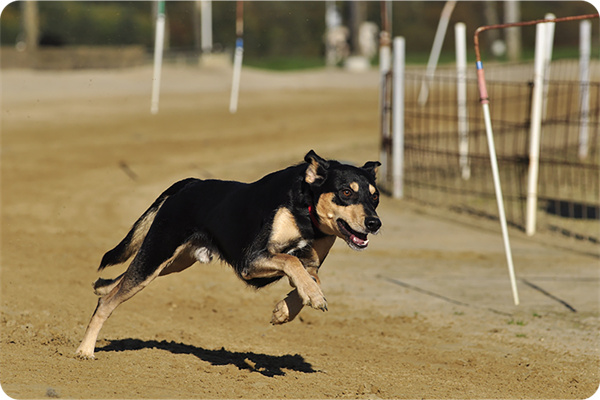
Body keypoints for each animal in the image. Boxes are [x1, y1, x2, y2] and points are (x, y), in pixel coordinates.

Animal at [75, 150, 380, 360]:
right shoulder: (251, 260)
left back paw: (101, 287)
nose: (375, 223)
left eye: (375, 197)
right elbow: (292, 262)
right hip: (157, 253)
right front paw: (313, 298)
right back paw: (85, 350)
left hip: (173, 261)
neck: (306, 213)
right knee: (108, 303)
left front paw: (285, 310)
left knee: (116, 284)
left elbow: (308, 278)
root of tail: (190, 183)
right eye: (345, 192)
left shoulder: (311, 263)